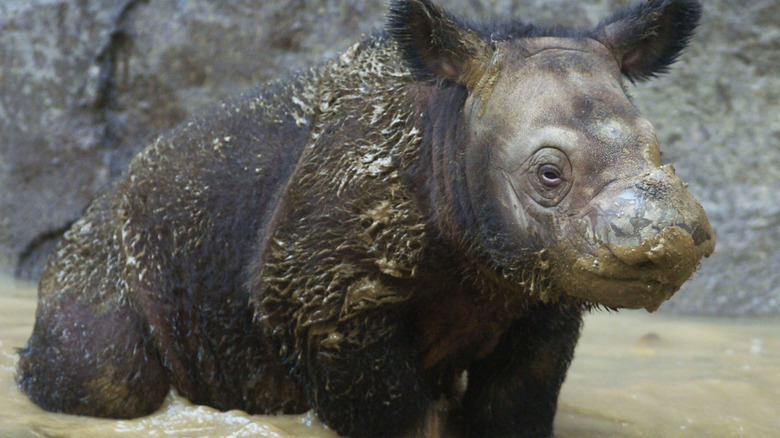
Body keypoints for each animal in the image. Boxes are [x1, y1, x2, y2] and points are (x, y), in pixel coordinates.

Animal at [16, 0, 712, 436]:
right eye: (548, 175)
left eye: (659, 149)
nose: (675, 238)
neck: (450, 129)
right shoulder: (325, 300)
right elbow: (395, 414)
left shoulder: (541, 288)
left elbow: (512, 408)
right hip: (104, 253)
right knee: (108, 375)